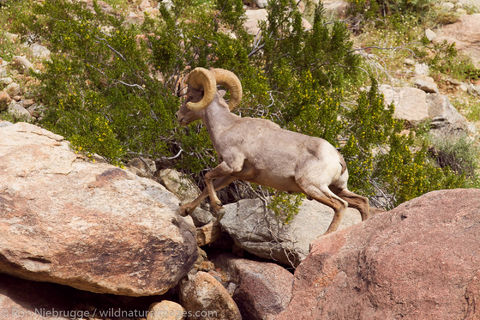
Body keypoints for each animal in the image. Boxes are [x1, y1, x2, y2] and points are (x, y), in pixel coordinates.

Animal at [177, 67, 372, 232]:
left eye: (191, 96)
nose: (179, 117)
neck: (227, 127)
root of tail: (338, 159)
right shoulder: (232, 174)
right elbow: (208, 186)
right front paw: (185, 210)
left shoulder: (231, 165)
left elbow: (207, 176)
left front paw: (218, 206)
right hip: (337, 188)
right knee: (362, 202)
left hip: (312, 186)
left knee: (340, 206)